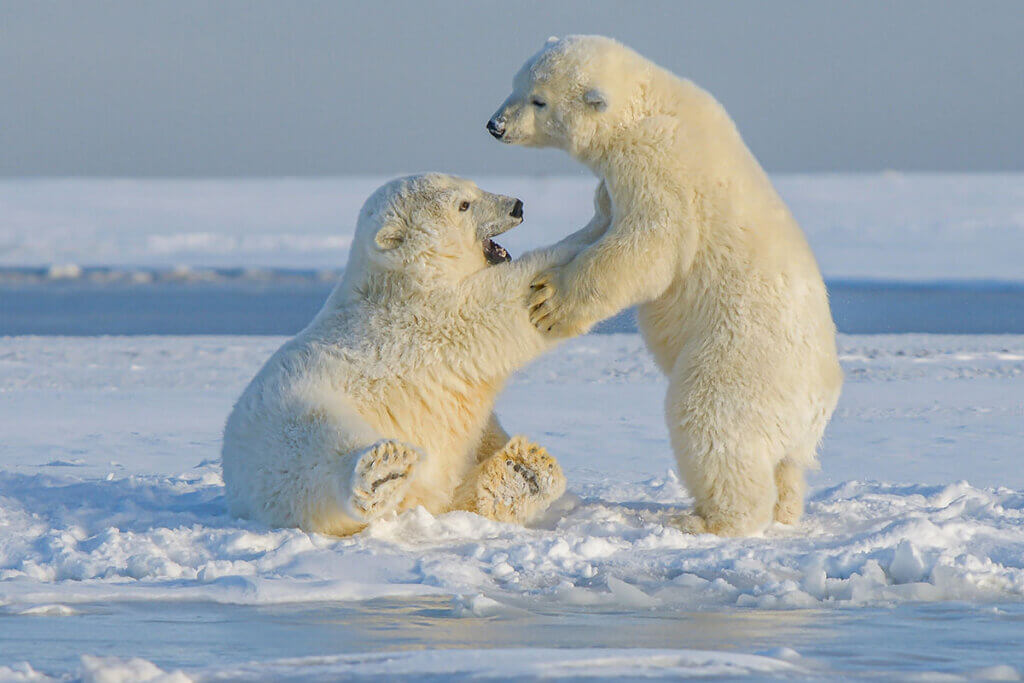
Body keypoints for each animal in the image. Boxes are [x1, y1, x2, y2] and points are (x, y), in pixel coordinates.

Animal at [221, 176, 569, 540]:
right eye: (463, 204)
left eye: (475, 187)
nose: (517, 206)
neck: (399, 279)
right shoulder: (425, 317)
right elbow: (494, 307)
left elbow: (478, 433)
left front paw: (522, 470)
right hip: (290, 417)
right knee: (317, 446)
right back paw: (382, 472)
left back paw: (524, 470)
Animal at [485, 36, 839, 540]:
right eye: (516, 85)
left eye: (539, 100)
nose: (495, 125)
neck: (650, 103)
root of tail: (817, 403)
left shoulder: (658, 166)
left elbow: (648, 244)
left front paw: (550, 302)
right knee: (787, 465)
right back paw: (785, 510)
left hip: (740, 360)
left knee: (711, 423)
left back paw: (707, 519)